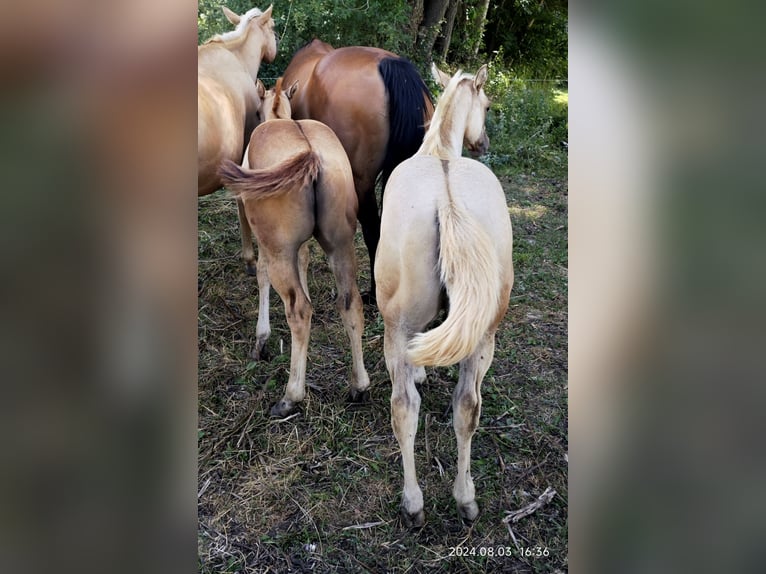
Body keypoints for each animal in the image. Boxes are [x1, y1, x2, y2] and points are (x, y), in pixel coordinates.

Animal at [218, 79, 374, 418]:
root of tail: (310, 154)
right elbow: (303, 259)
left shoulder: (268, 241)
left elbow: (262, 275)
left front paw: (261, 341)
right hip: (341, 245)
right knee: (350, 303)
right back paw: (359, 385)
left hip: (280, 250)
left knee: (299, 311)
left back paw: (291, 396)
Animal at [376, 65, 516, 528]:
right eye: (487, 105)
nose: (483, 143)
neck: (438, 153)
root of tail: (448, 201)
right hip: (484, 336)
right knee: (467, 406)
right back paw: (465, 499)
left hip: (397, 329)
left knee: (404, 407)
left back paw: (414, 503)